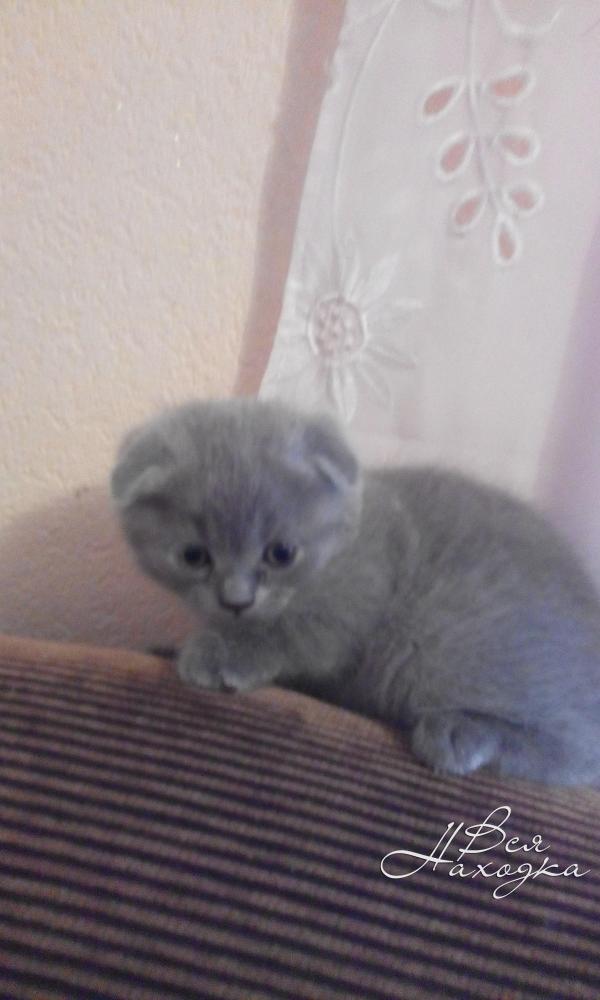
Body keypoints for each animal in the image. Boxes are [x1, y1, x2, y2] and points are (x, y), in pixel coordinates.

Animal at [111, 397, 600, 785]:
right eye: (193, 556)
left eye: (281, 553)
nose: (236, 599)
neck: (342, 546)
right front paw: (177, 646)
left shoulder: (359, 598)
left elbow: (296, 636)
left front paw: (224, 652)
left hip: (449, 643)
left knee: (580, 751)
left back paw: (461, 731)